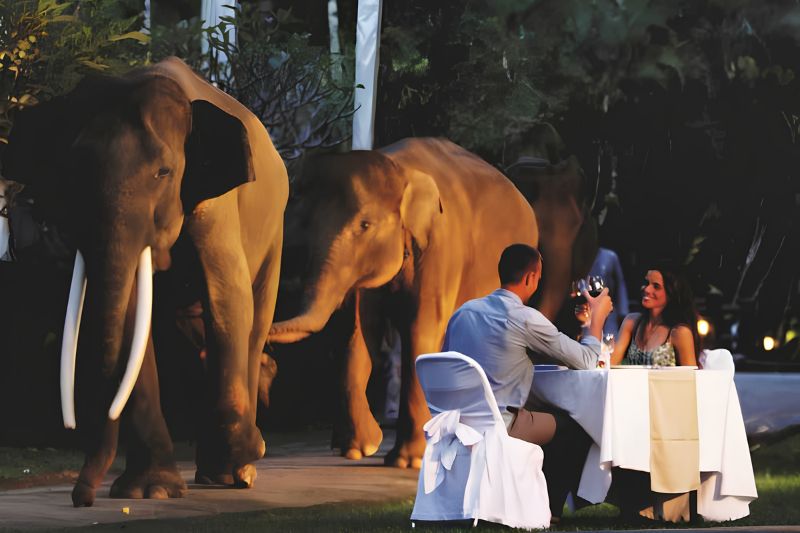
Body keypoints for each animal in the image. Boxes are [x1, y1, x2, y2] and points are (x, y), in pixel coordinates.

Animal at [0, 57, 288, 506]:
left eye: (164, 173)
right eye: (72, 172)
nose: (81, 497)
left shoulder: (215, 204)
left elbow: (227, 297)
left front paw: (244, 457)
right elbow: (134, 317)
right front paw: (150, 492)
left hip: (275, 230)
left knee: (253, 324)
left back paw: (234, 471)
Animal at [269, 138, 538, 467]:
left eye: (365, 225)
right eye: (305, 225)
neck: (399, 170)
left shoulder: (440, 248)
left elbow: (419, 331)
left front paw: (407, 461)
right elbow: (355, 334)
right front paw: (359, 448)